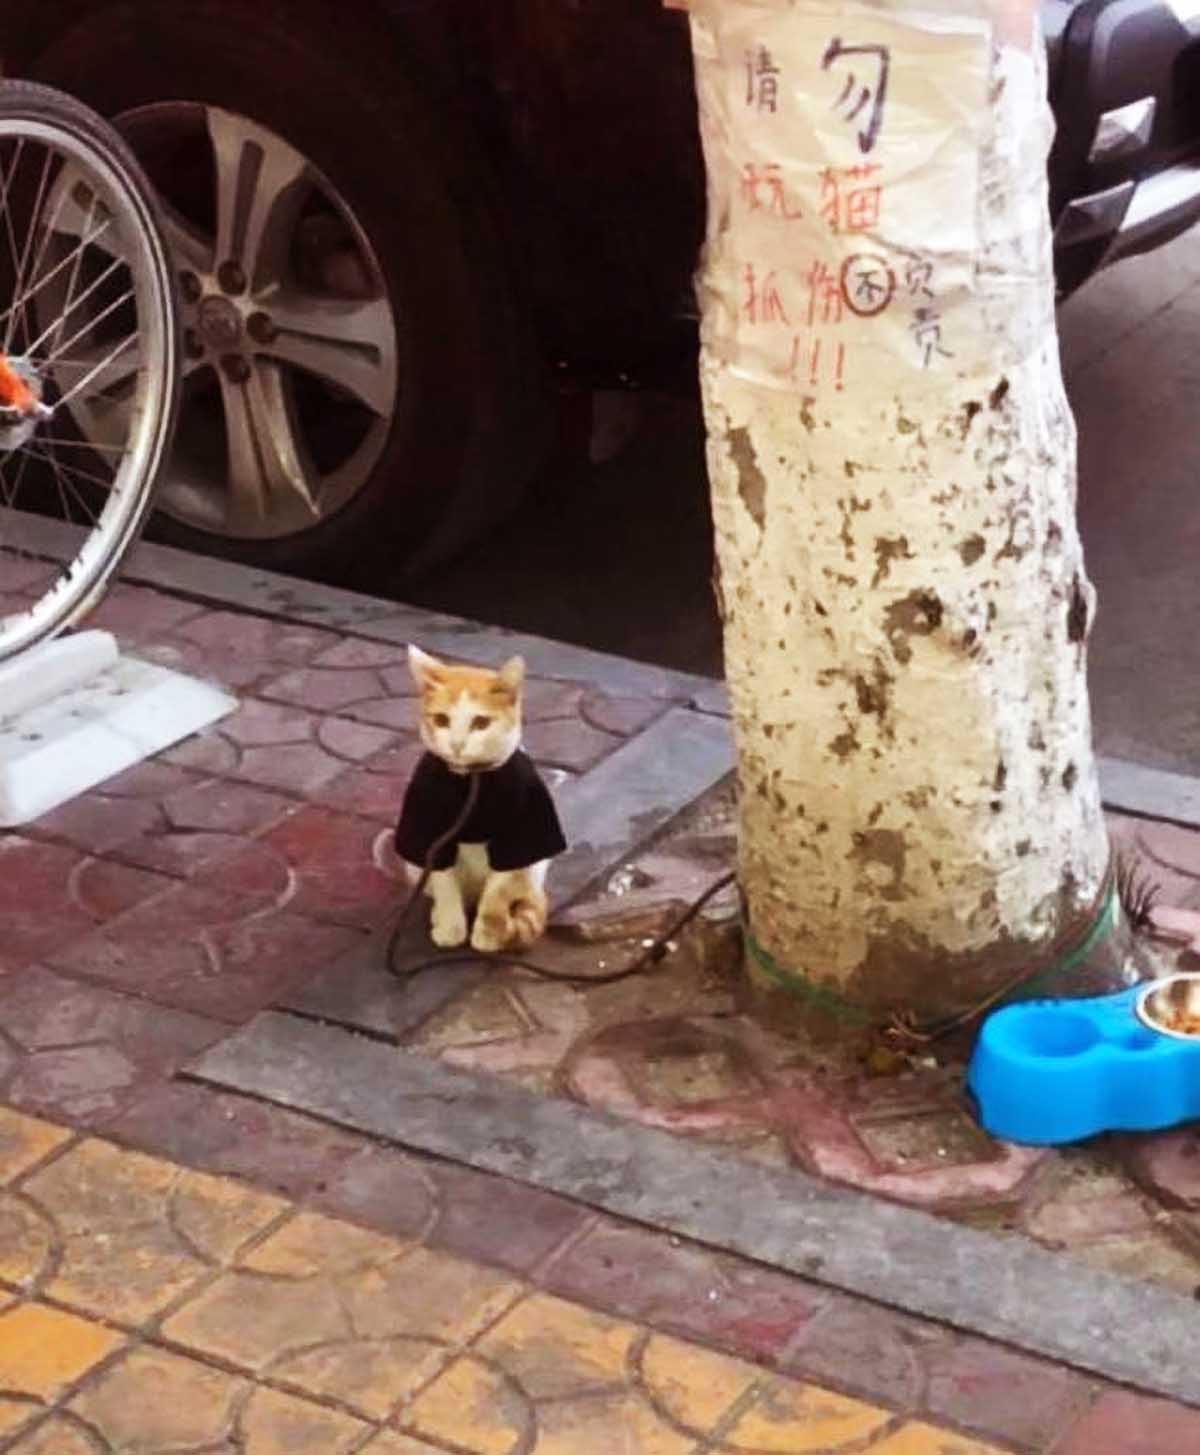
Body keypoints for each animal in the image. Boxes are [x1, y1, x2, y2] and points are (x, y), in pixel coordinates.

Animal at [389, 648, 564, 954]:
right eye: (441, 720)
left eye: (481, 723)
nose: (457, 744)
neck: (470, 779)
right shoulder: (431, 833)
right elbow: (444, 883)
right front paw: (451, 928)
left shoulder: (516, 837)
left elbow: (497, 891)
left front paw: (488, 933)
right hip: (414, 869)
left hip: (535, 868)